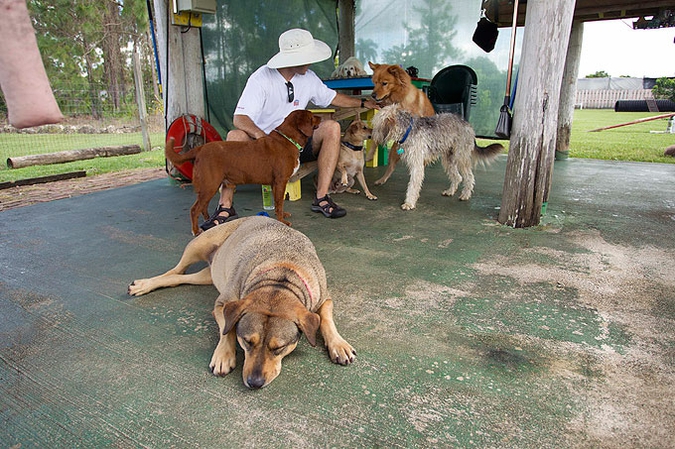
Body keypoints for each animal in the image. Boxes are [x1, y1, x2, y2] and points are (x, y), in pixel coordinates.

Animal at [128, 215, 360, 386]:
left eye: (279, 348)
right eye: (247, 342)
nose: (254, 382)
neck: (280, 277)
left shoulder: (324, 297)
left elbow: (326, 318)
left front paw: (339, 344)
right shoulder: (223, 304)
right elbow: (227, 328)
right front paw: (223, 355)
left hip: (207, 275)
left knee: (179, 278)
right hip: (198, 244)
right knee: (174, 271)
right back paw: (144, 285)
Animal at [165, 110, 320, 233]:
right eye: (312, 116)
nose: (320, 117)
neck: (288, 139)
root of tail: (199, 149)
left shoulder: (276, 183)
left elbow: (278, 202)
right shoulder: (280, 181)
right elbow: (279, 203)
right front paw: (282, 221)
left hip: (208, 186)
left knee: (203, 207)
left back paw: (209, 222)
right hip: (209, 185)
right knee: (194, 209)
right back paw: (196, 231)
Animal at [372, 105, 504, 210]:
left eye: (376, 125)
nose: (372, 137)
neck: (408, 130)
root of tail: (466, 123)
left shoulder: (417, 165)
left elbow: (413, 186)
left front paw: (409, 203)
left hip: (460, 157)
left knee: (469, 177)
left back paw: (465, 195)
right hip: (448, 160)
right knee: (457, 177)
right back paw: (450, 191)